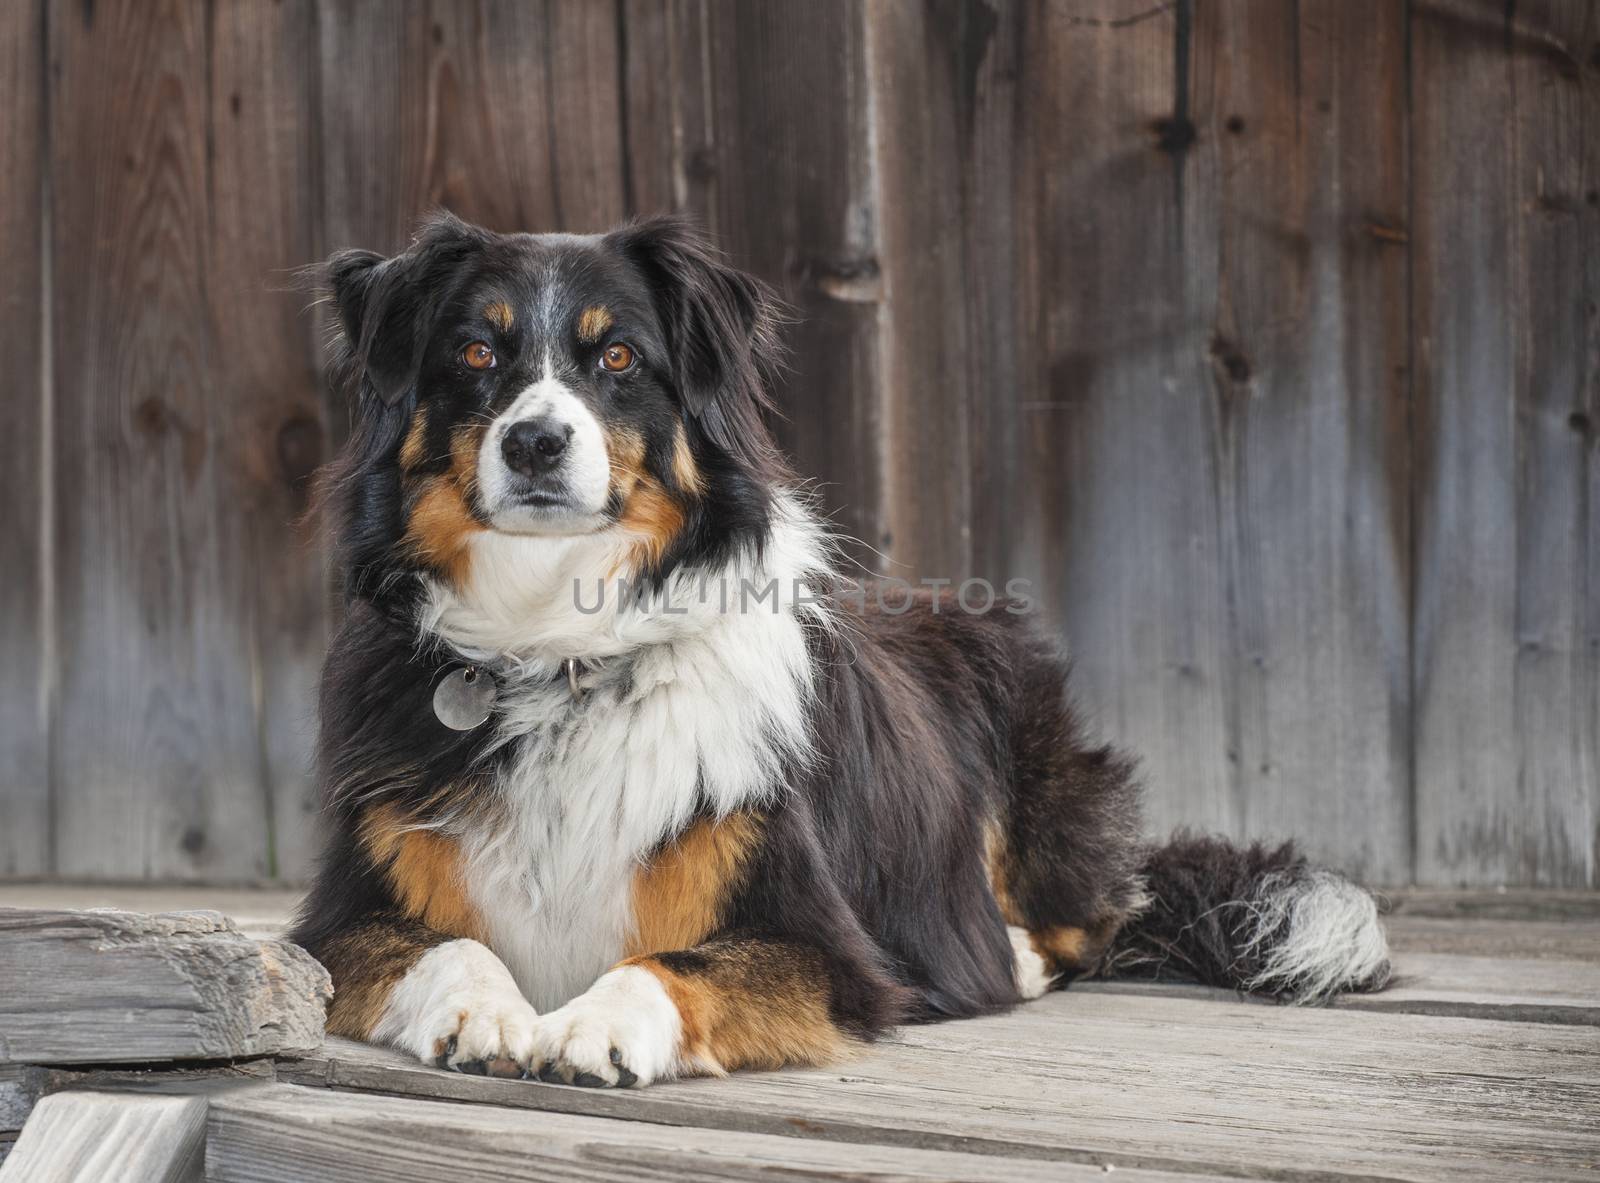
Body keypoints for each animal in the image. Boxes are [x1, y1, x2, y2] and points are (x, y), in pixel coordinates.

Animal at [291, 214, 1388, 1094]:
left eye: (620, 360)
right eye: (477, 353)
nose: (534, 444)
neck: (559, 646)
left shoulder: (826, 946)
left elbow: (672, 964)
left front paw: (594, 1023)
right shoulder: (336, 921)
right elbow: (445, 946)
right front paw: (487, 1010)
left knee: (1092, 918)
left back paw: (1013, 953)